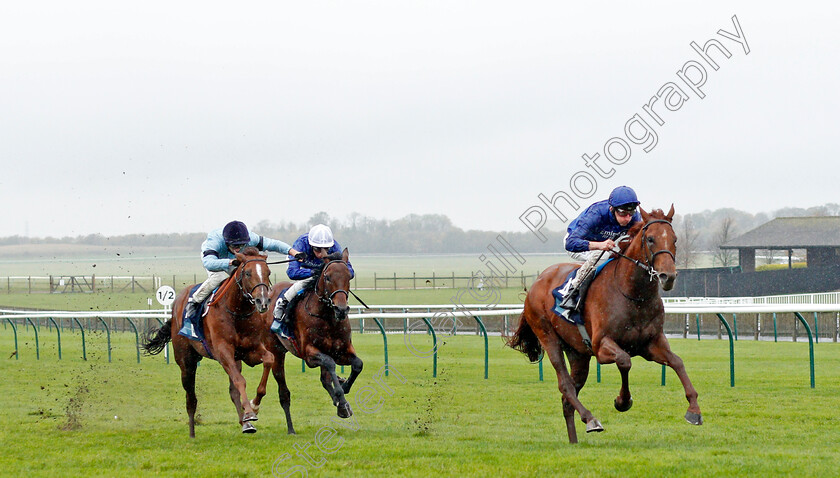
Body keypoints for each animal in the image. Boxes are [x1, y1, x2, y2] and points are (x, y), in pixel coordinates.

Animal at [142, 246, 276, 436]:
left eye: (268, 272)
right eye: (248, 273)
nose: (262, 301)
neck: (237, 312)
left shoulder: (249, 350)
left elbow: (268, 360)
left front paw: (254, 406)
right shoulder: (223, 351)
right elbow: (240, 380)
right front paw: (250, 412)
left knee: (233, 390)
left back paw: (246, 424)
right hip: (186, 361)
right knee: (190, 397)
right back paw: (192, 433)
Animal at [253, 248, 364, 428]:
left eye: (349, 276)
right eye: (327, 277)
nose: (341, 310)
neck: (327, 318)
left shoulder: (341, 351)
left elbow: (357, 365)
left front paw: (344, 389)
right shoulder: (310, 354)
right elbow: (330, 364)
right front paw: (341, 396)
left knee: (325, 378)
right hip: (276, 351)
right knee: (282, 386)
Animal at [508, 207, 700, 442]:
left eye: (674, 239)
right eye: (651, 239)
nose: (668, 276)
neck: (633, 295)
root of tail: (535, 283)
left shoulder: (651, 344)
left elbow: (677, 362)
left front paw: (694, 410)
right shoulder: (601, 346)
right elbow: (625, 361)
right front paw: (622, 401)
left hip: (578, 353)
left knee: (568, 397)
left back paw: (574, 440)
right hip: (547, 336)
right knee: (565, 385)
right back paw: (591, 419)